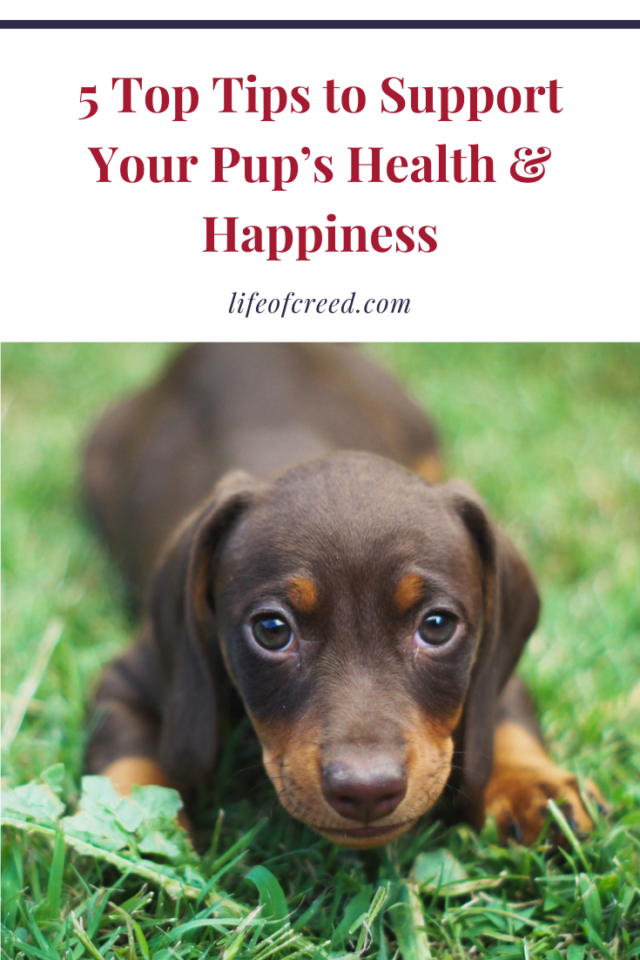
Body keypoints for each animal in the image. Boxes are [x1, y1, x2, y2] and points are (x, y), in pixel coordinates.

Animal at [85, 344, 596, 848]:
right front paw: (126, 832)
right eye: (272, 630)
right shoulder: (130, 679)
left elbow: (506, 719)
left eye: (437, 626)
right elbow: (126, 767)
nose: (366, 791)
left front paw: (533, 789)